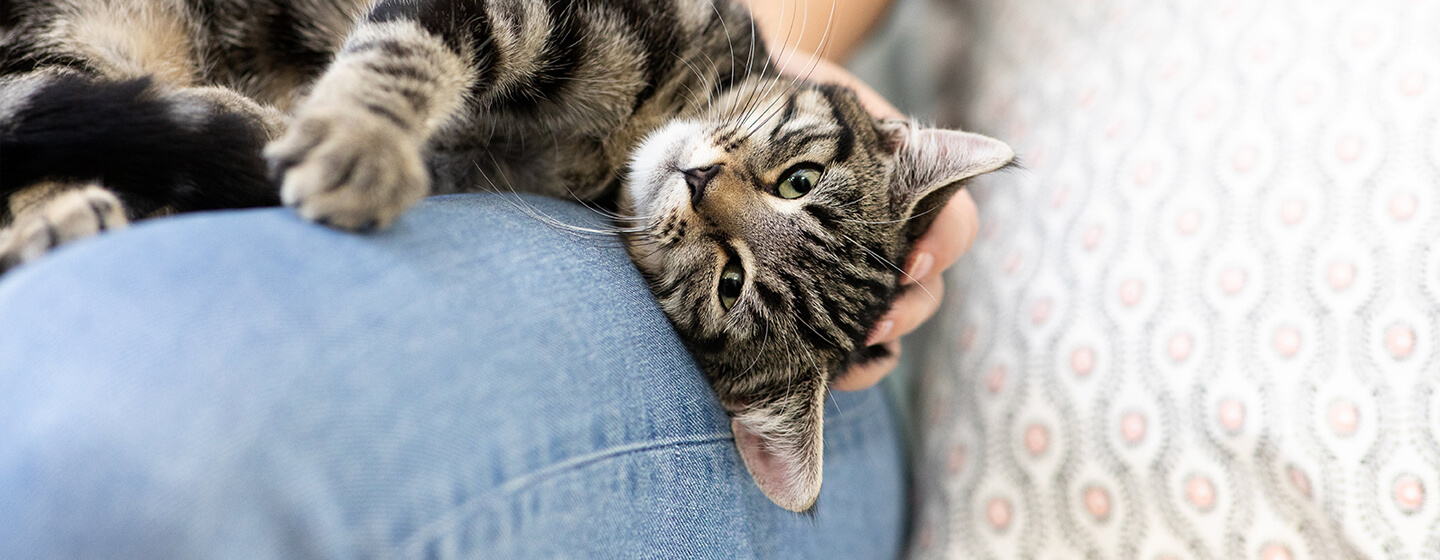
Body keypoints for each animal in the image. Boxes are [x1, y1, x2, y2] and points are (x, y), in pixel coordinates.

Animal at [0, 0, 1013, 509]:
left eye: (733, 284)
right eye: (799, 180)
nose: (695, 181)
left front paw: (292, 132)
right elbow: (407, 45)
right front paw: (357, 137)